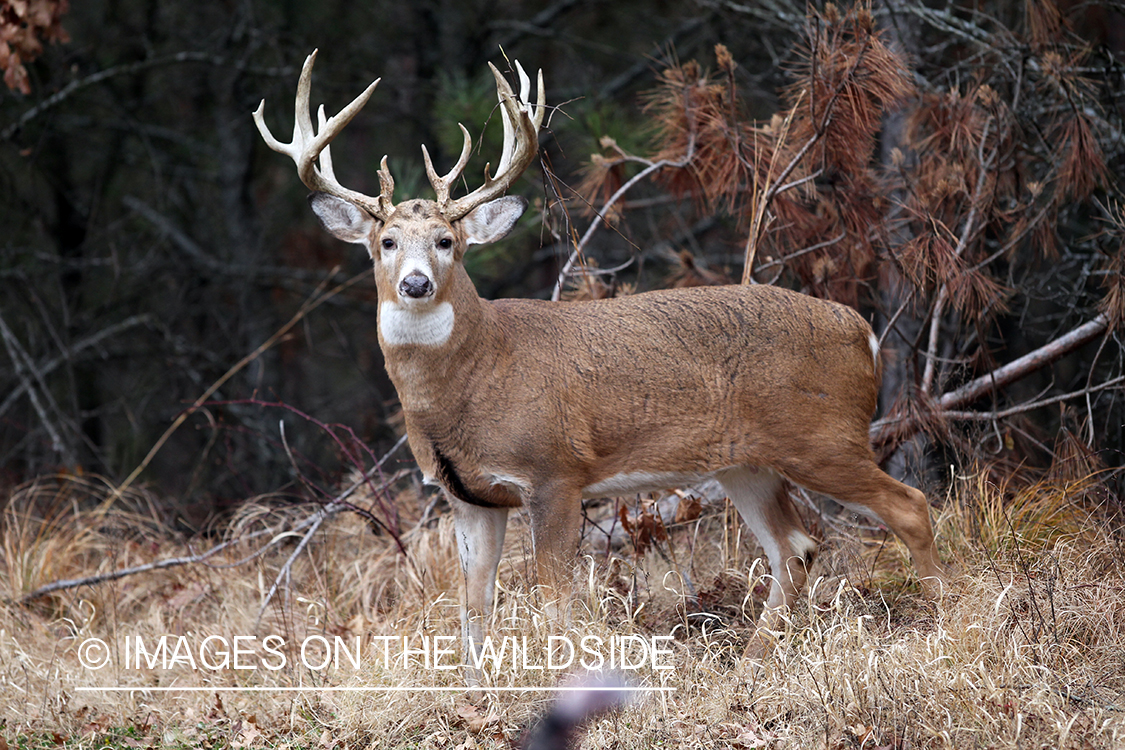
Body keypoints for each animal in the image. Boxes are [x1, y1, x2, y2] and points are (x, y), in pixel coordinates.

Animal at [253, 51, 940, 661]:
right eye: (387, 241)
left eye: (448, 241)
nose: (416, 283)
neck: (473, 380)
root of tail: (862, 329)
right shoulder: (467, 496)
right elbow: (473, 608)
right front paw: (474, 694)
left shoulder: (554, 471)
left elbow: (554, 599)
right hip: (749, 462)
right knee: (794, 546)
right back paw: (753, 660)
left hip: (824, 436)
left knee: (909, 506)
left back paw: (940, 624)